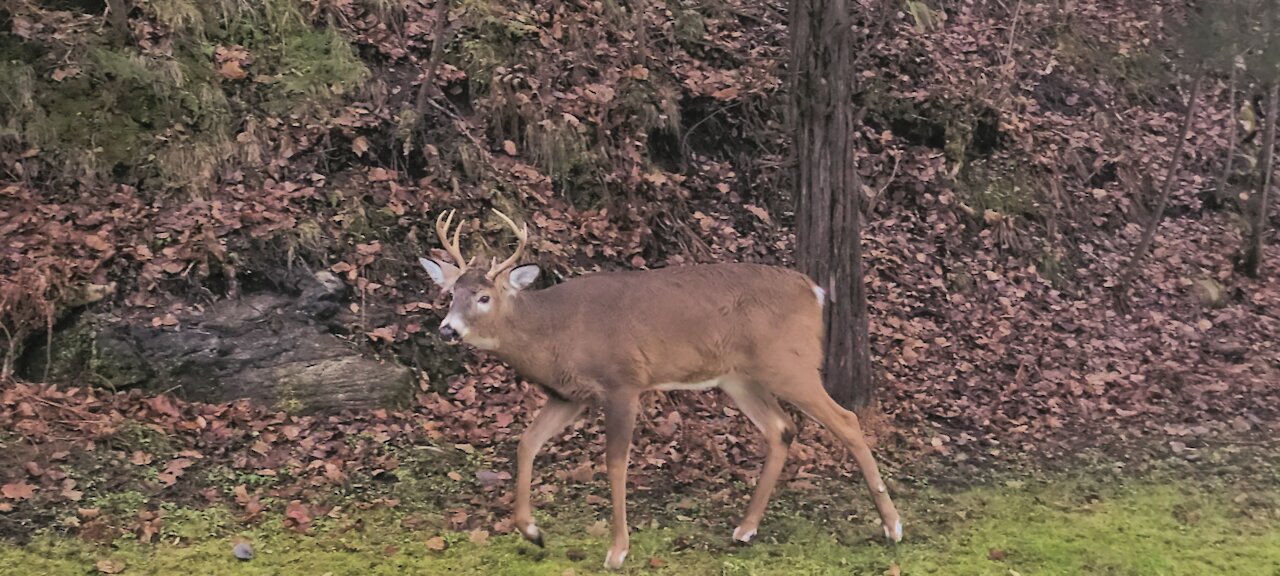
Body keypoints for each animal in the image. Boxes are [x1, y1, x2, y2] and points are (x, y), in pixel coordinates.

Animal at [419, 207, 901, 565]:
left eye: (484, 297)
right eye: (451, 294)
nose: (447, 330)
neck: (553, 333)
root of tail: (816, 291)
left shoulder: (622, 382)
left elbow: (615, 463)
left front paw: (617, 551)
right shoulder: (569, 395)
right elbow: (525, 444)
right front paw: (532, 532)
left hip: (789, 363)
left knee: (846, 419)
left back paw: (892, 525)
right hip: (740, 376)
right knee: (781, 428)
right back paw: (744, 529)